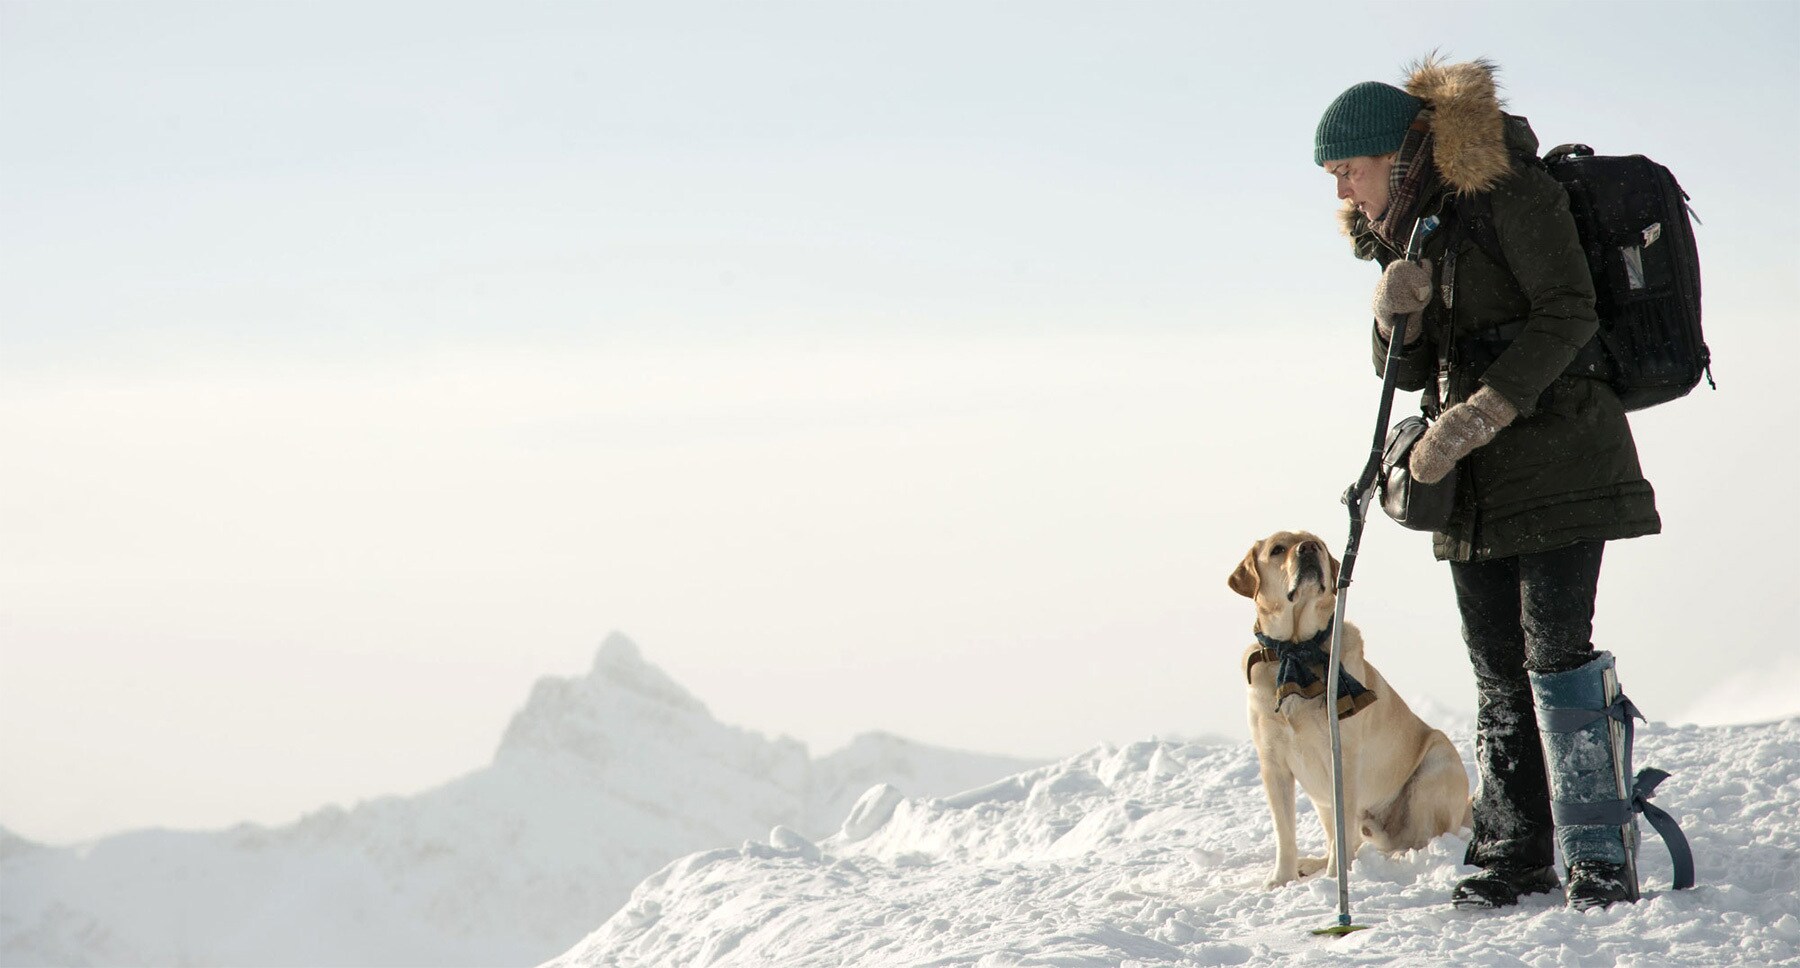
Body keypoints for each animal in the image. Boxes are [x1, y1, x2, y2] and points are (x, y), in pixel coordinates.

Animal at [1231, 532, 1468, 885]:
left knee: (1420, 838)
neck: (1296, 651)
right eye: (1277, 550)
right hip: (1322, 801)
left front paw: (1334, 879)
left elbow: (1343, 832)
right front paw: (1282, 880)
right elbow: (1285, 833)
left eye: (1315, 542)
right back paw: (1312, 863)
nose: (1308, 549)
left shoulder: (1342, 755)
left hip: (1436, 764)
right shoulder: (1273, 764)